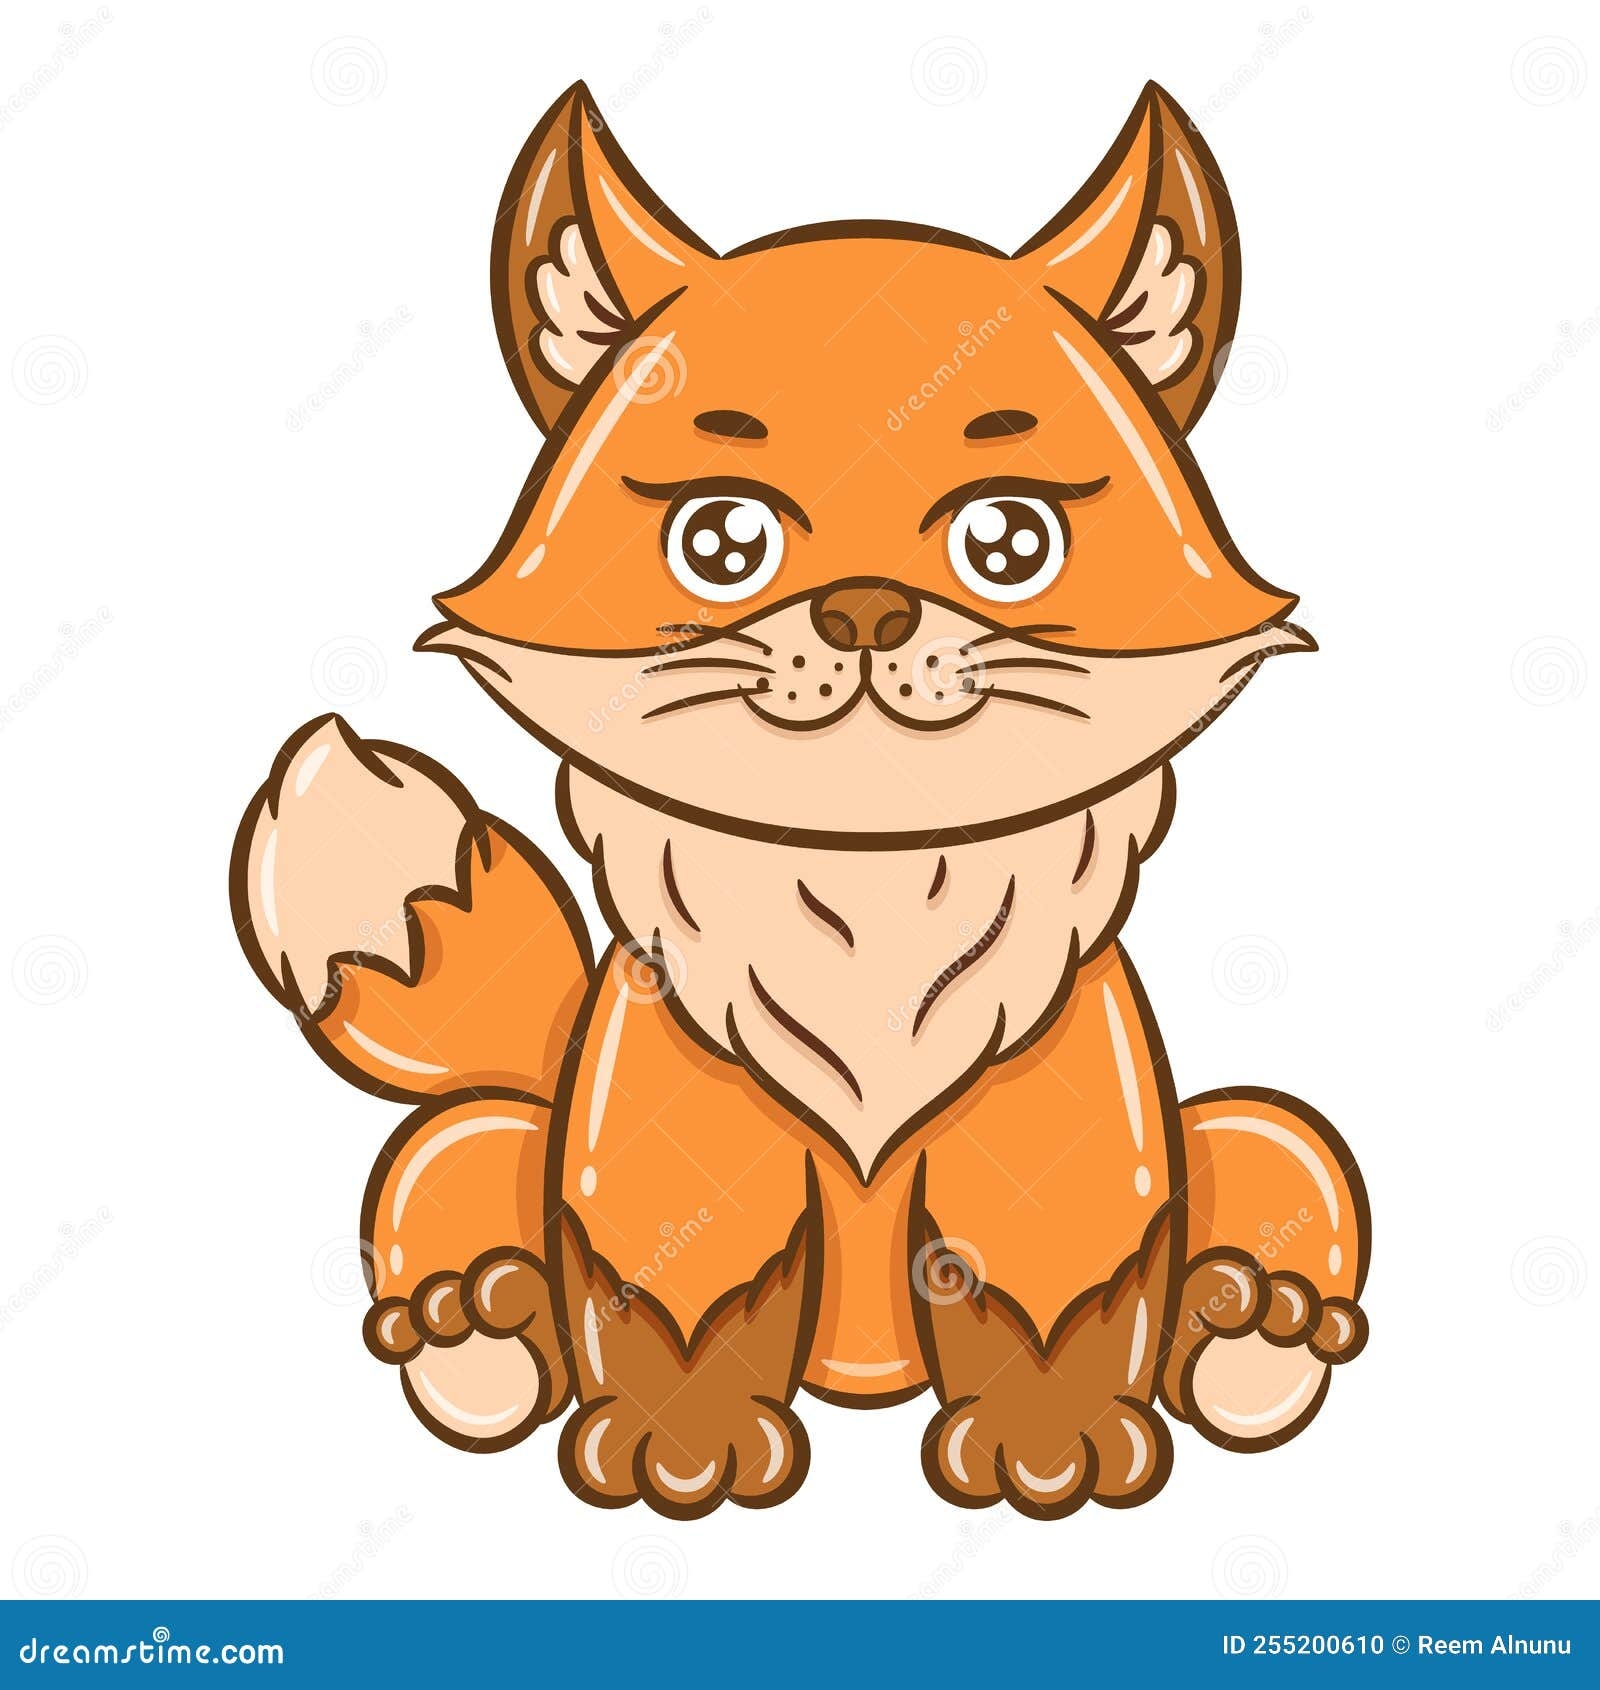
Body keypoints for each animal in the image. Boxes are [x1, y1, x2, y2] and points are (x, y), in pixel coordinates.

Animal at [231, 80, 1369, 1520]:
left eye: (1010, 541)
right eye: (723, 542)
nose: (866, 608)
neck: (867, 876)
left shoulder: (1067, 1123)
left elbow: (1053, 1292)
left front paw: (1048, 1446)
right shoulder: (667, 1129)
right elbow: (676, 1289)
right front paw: (682, 1446)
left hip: (1246, 1129)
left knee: (1279, 1153)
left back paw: (1251, 1324)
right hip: (492, 1139)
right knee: (453, 1158)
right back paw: (473, 1322)